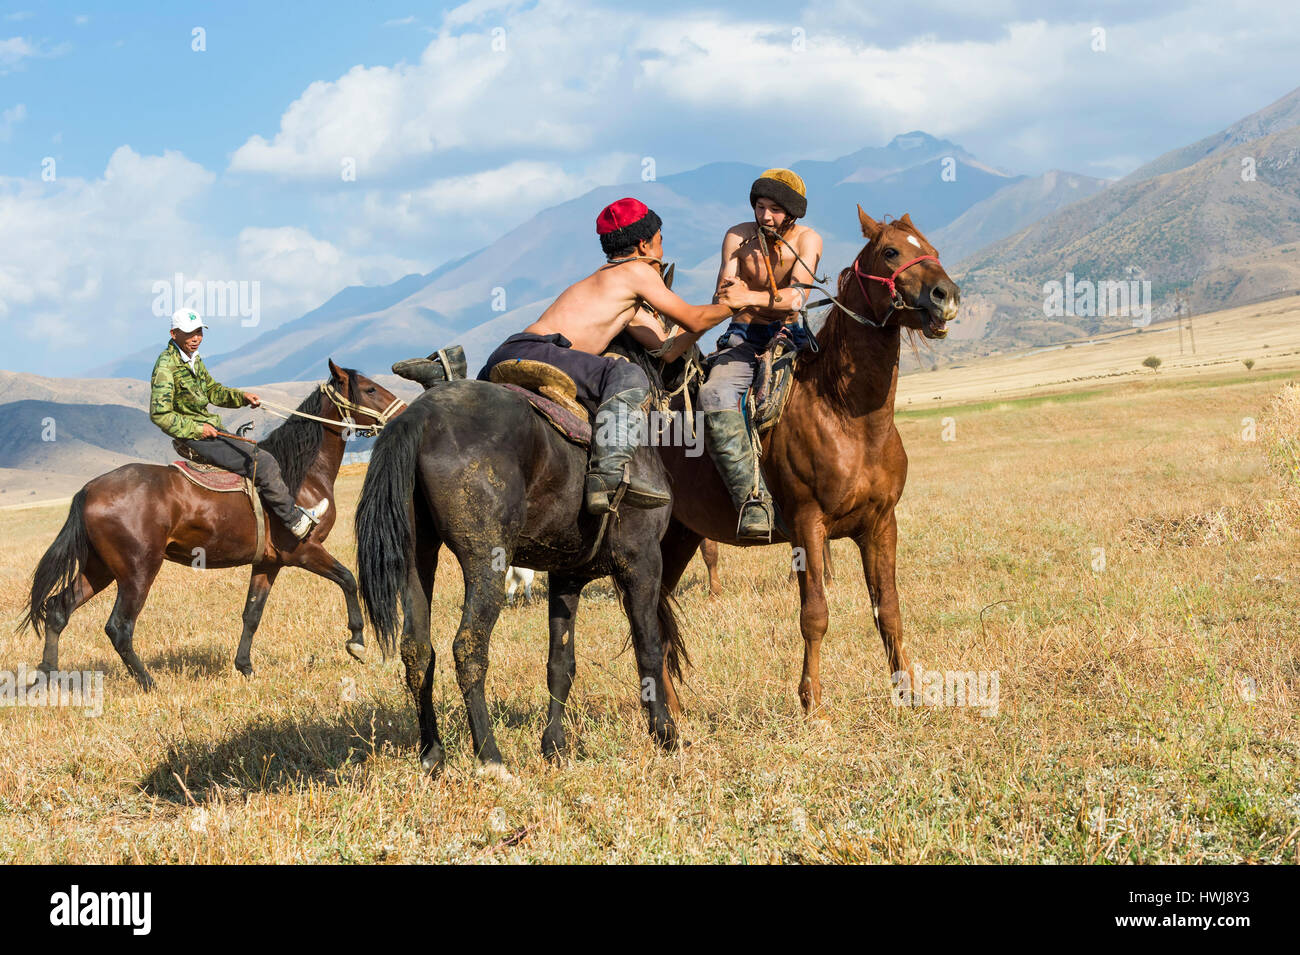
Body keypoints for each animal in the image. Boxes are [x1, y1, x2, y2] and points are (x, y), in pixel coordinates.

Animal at [20, 358, 403, 686]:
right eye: (369, 389)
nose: (401, 412)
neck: (301, 474)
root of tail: (89, 490)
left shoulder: (269, 562)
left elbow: (252, 613)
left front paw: (245, 667)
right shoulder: (304, 551)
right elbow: (348, 579)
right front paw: (357, 641)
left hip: (100, 568)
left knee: (58, 609)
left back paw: (47, 675)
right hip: (137, 572)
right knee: (119, 628)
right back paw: (149, 683)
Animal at [356, 374, 681, 779]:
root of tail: (418, 416)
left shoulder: (565, 578)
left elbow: (560, 664)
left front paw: (554, 746)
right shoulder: (642, 564)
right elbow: (649, 650)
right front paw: (665, 734)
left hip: (417, 561)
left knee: (417, 650)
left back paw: (432, 754)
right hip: (486, 564)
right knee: (468, 649)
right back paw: (490, 757)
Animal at [655, 207, 961, 717]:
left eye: (933, 248)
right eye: (890, 251)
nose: (947, 296)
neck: (847, 414)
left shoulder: (881, 524)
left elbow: (889, 609)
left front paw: (908, 692)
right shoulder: (806, 525)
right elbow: (815, 613)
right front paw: (811, 701)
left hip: (681, 535)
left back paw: (672, 709)